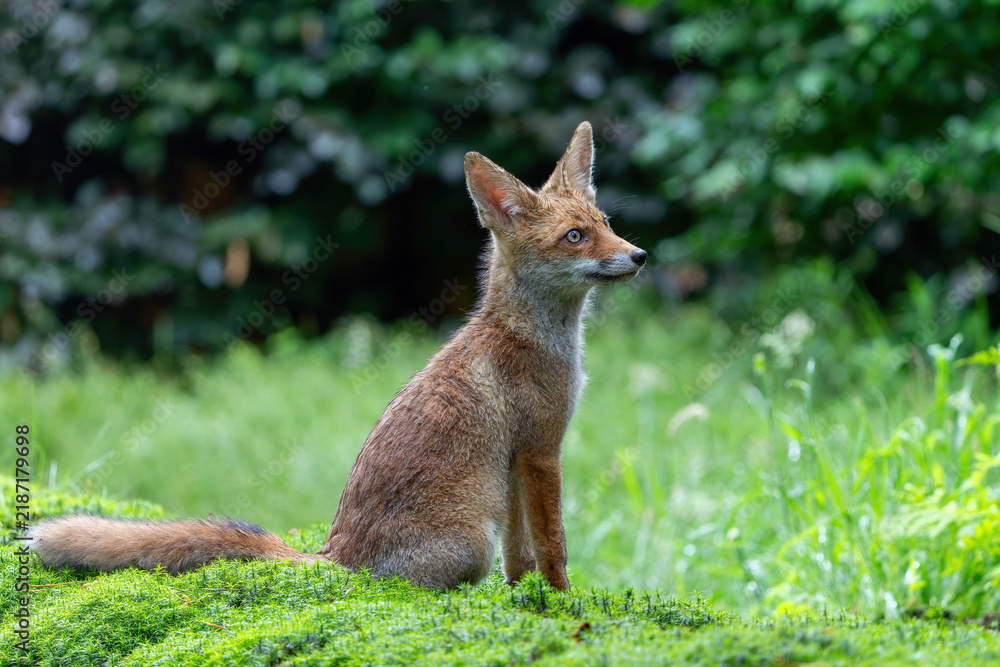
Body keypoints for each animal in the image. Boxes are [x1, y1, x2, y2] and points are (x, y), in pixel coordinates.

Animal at [29, 121, 646, 591]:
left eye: (606, 225)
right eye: (574, 237)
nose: (640, 254)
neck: (535, 337)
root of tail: (337, 557)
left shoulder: (518, 461)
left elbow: (523, 556)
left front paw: (525, 601)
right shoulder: (542, 451)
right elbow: (554, 546)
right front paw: (564, 604)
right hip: (474, 542)